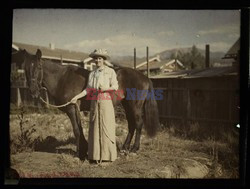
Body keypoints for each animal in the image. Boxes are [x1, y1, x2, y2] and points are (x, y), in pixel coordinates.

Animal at [15, 48, 159, 159]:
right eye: (25, 68)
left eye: (39, 67)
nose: (33, 91)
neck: (62, 79)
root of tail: (145, 77)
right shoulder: (74, 109)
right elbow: (79, 129)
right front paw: (84, 150)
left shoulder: (72, 108)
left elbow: (76, 130)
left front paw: (80, 153)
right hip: (127, 105)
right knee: (131, 125)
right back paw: (125, 147)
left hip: (135, 106)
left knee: (138, 124)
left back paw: (134, 148)